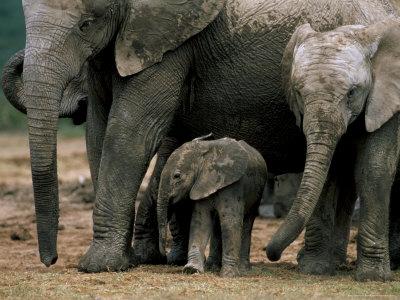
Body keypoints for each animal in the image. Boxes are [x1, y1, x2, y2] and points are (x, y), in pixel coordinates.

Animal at [158, 137, 268, 278]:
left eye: (177, 176)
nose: (164, 256)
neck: (205, 153)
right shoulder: (201, 184)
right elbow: (201, 221)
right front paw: (191, 269)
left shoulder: (233, 185)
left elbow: (230, 222)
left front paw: (228, 275)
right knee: (217, 225)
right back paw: (212, 267)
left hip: (257, 193)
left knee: (247, 222)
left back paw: (243, 270)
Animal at [266, 19, 400, 282]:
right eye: (298, 93)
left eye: (352, 92)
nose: (271, 255)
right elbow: (330, 173)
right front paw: (314, 269)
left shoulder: (387, 99)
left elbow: (374, 169)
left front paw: (373, 277)